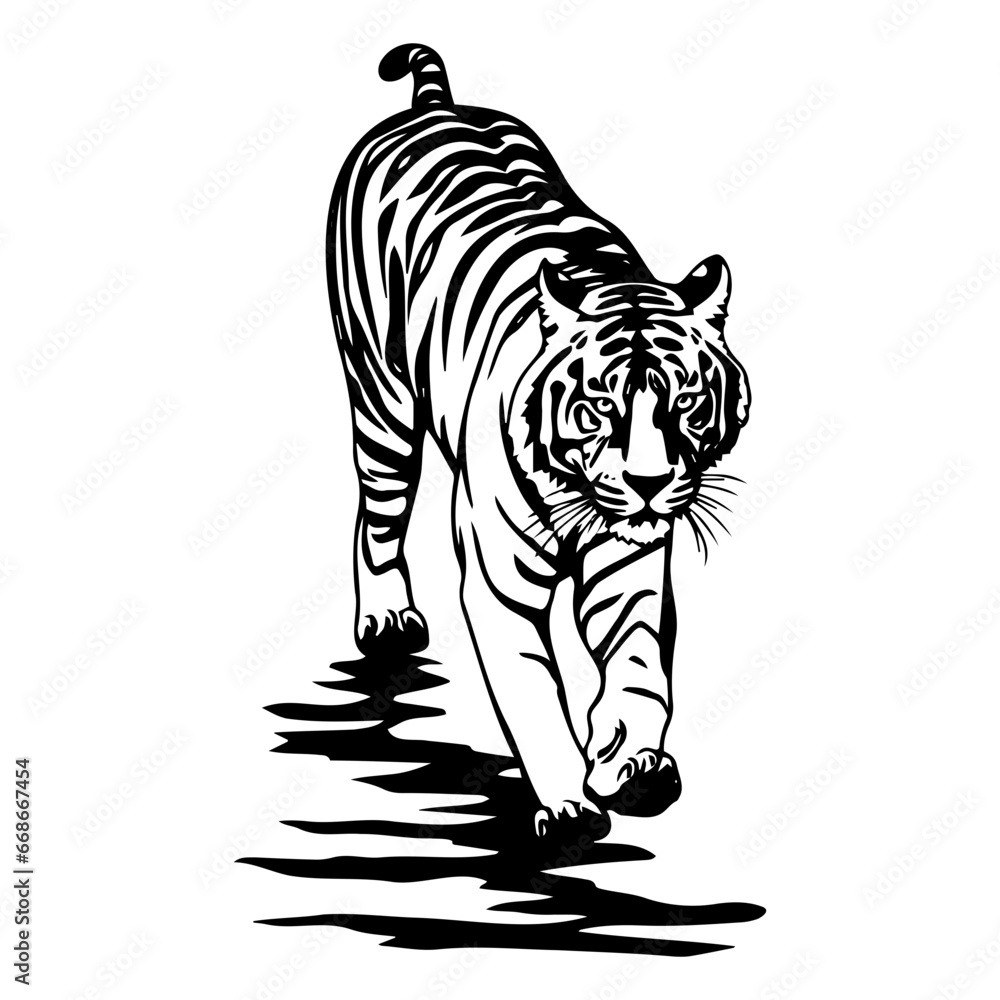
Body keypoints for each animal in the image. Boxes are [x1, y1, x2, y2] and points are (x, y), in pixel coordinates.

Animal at [327, 43, 750, 837]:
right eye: (600, 407)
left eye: (685, 403)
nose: (649, 484)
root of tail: (433, 104)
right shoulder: (496, 584)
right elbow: (532, 694)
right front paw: (569, 804)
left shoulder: (632, 568)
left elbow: (640, 671)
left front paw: (631, 764)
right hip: (382, 399)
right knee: (377, 516)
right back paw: (387, 622)